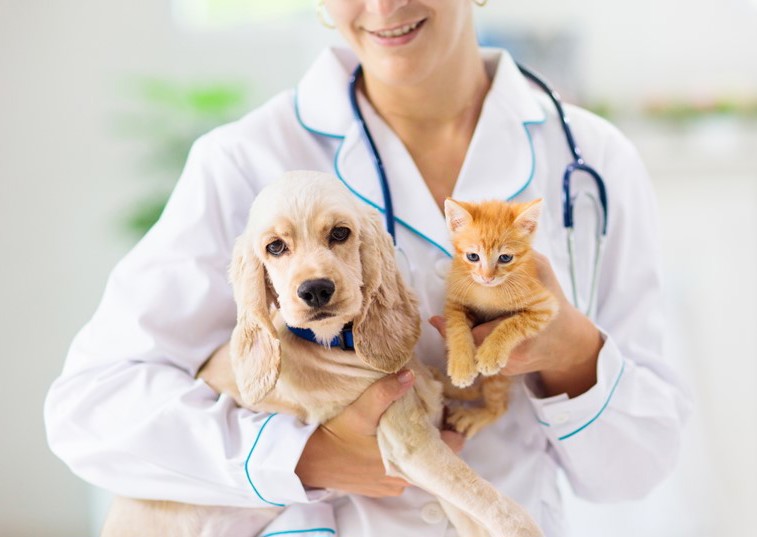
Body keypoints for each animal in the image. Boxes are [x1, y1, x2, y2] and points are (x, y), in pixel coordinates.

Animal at [102, 173, 536, 536]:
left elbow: (480, 509)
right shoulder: (409, 444)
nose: (315, 290)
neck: (339, 344)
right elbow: (501, 507)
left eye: (340, 233)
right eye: (275, 247)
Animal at [440, 199, 560, 438]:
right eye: (473, 256)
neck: (488, 292)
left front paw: (490, 353)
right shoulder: (455, 301)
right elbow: (456, 328)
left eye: (505, 258)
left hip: (499, 379)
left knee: (498, 405)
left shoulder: (545, 305)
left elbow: (513, 323)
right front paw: (461, 365)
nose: (487, 277)